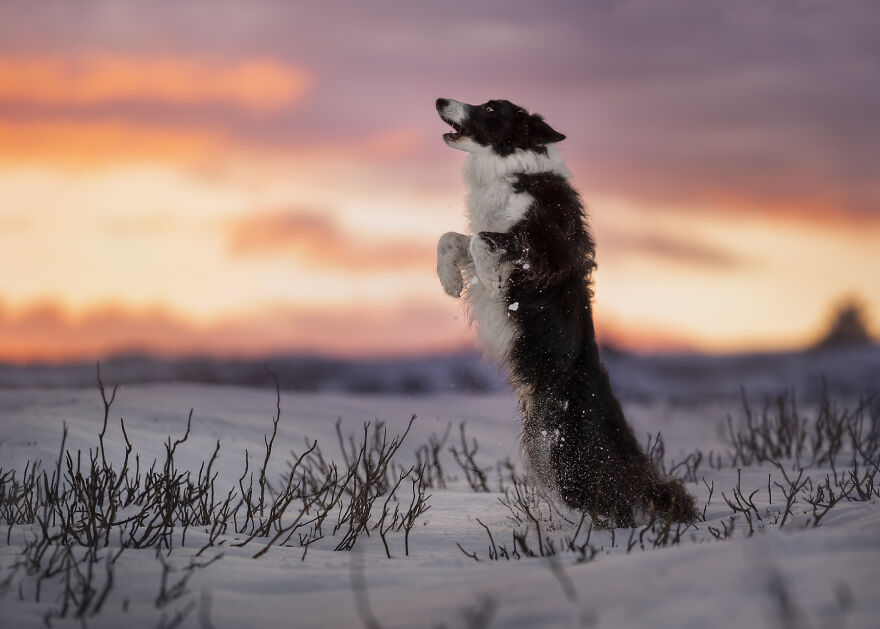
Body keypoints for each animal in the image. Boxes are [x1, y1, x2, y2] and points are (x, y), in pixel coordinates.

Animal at [434, 95, 696, 524]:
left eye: (490, 109)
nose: (440, 100)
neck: (512, 167)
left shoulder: (545, 248)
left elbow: (481, 240)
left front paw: (490, 279)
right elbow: (452, 238)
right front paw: (450, 280)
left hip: (567, 453)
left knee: (609, 498)